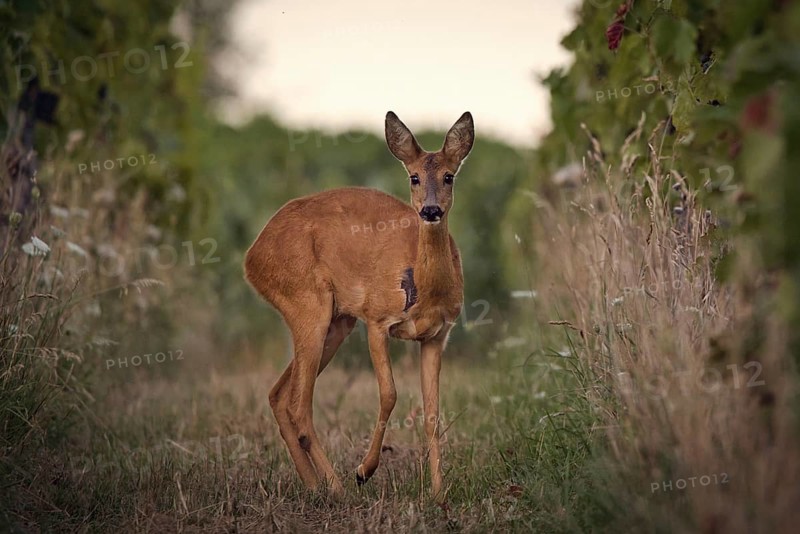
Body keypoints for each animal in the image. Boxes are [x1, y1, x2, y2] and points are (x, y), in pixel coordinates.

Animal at [243, 111, 474, 501]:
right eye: (413, 176)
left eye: (449, 175)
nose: (430, 210)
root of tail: (251, 257)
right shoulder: (377, 319)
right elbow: (389, 394)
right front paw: (365, 470)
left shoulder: (435, 336)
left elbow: (432, 414)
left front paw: (438, 493)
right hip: (309, 304)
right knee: (298, 404)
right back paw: (338, 488)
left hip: (337, 322)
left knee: (278, 395)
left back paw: (314, 486)